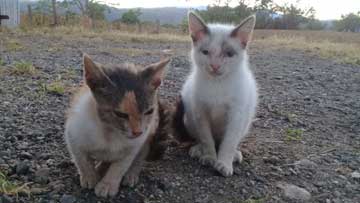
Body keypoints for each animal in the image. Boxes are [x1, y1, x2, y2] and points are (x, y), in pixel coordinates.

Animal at [65, 54, 170, 197]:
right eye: (120, 114)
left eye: (149, 111)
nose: (138, 132)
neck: (111, 132)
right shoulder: (73, 132)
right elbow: (81, 159)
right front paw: (90, 177)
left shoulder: (135, 145)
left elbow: (120, 166)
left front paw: (108, 184)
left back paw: (130, 174)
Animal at [175, 11, 258, 176]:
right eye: (206, 52)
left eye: (229, 54)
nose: (215, 66)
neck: (217, 84)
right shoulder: (201, 112)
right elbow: (207, 139)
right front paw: (210, 157)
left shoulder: (236, 115)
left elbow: (229, 142)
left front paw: (224, 163)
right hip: (189, 119)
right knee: (203, 139)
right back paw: (198, 149)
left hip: (245, 123)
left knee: (227, 141)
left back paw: (235, 155)